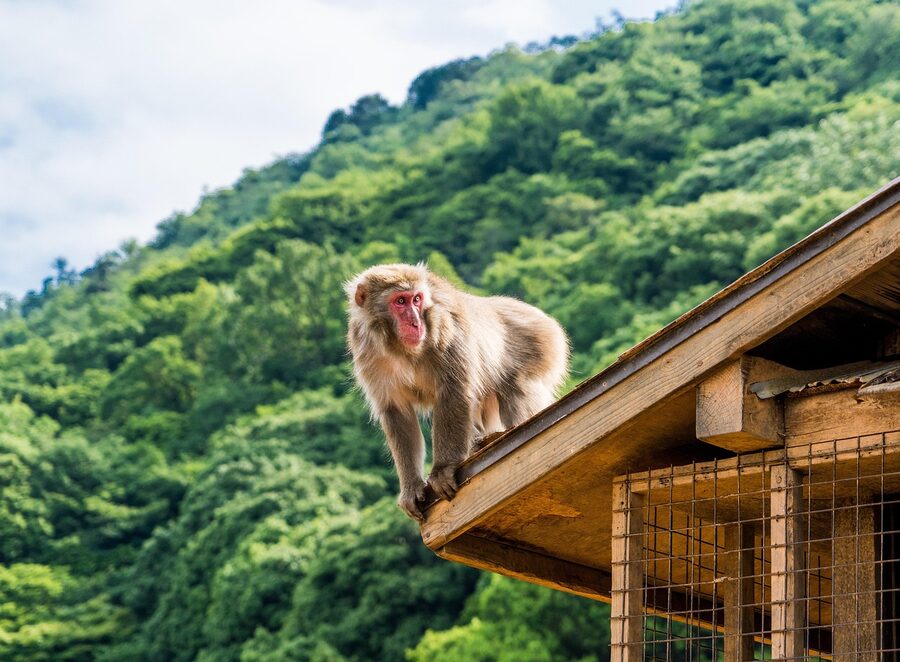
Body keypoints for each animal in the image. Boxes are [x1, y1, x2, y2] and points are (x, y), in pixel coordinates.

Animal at [345, 263, 569, 522]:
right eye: (400, 301)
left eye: (417, 299)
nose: (416, 323)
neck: (401, 349)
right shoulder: (368, 351)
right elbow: (397, 412)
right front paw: (411, 486)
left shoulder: (446, 330)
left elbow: (454, 392)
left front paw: (443, 470)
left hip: (542, 344)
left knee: (516, 388)